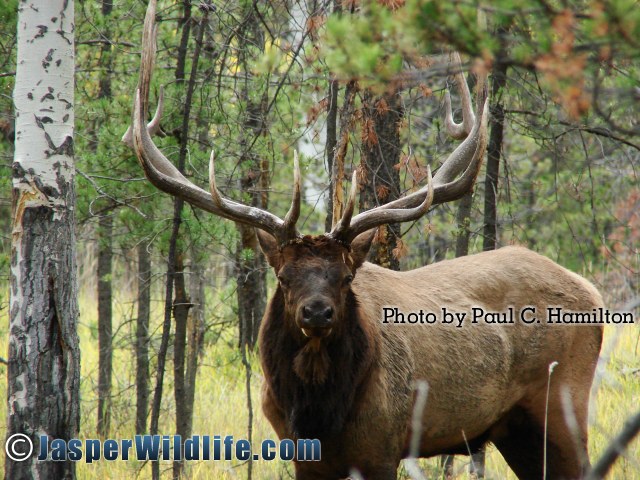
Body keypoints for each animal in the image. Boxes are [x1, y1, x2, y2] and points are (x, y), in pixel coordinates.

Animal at [124, 2, 604, 478]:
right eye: (283, 277)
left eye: (346, 277)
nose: (317, 311)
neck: (319, 416)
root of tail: (594, 293)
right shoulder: (300, 452)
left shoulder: (382, 446)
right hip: (515, 430)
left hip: (562, 402)